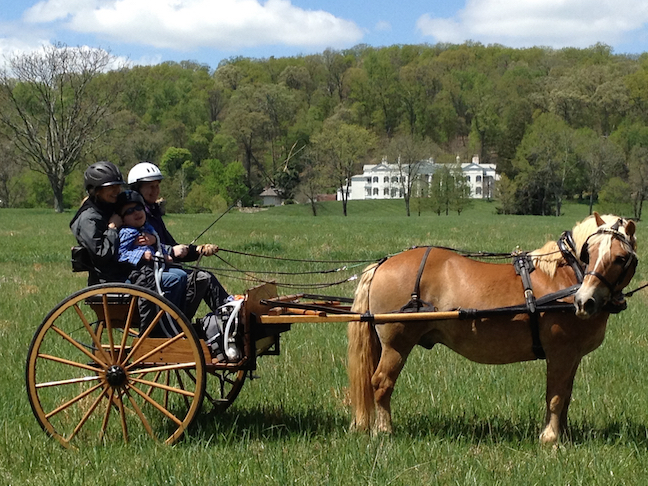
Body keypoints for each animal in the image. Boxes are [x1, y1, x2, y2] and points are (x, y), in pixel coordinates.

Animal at [347, 213, 637, 444]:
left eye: (621, 258)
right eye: (590, 253)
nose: (584, 302)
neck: (567, 276)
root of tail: (382, 263)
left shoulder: (572, 356)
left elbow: (565, 395)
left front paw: (563, 435)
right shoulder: (561, 353)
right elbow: (555, 396)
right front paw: (550, 439)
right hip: (396, 344)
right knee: (381, 383)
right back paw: (385, 431)